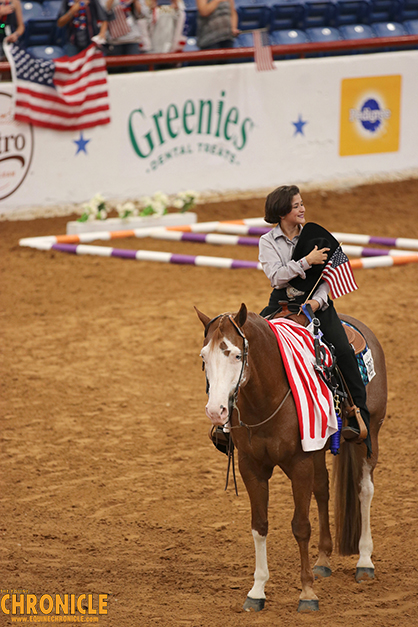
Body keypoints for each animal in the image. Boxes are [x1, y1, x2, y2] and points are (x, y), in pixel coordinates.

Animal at [196, 304, 388, 612]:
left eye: (236, 354)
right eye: (204, 356)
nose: (216, 411)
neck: (267, 399)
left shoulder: (299, 464)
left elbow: (300, 526)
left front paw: (307, 593)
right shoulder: (251, 466)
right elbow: (259, 525)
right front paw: (257, 591)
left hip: (369, 437)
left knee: (364, 490)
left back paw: (364, 561)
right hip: (318, 450)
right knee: (322, 489)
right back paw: (323, 559)